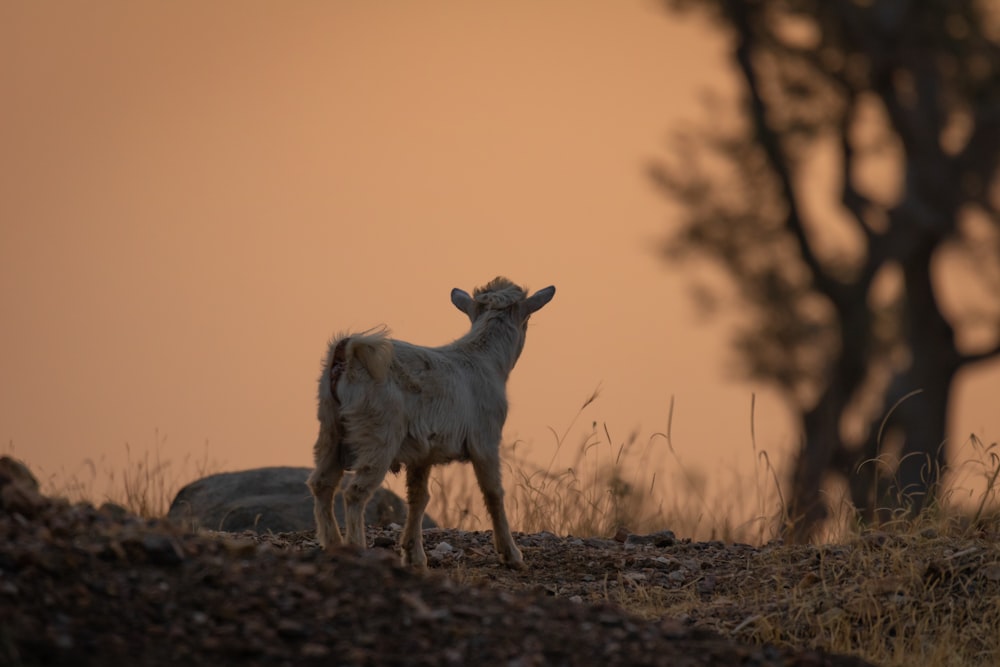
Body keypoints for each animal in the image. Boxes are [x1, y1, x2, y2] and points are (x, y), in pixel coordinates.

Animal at [306, 276, 556, 568]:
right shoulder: (486, 440)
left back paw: (333, 544)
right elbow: (493, 492)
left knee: (322, 484)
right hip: (378, 434)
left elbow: (418, 498)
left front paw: (414, 555)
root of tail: (346, 354)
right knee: (355, 492)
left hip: (330, 427)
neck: (484, 358)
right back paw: (357, 549)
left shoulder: (421, 454)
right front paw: (512, 555)